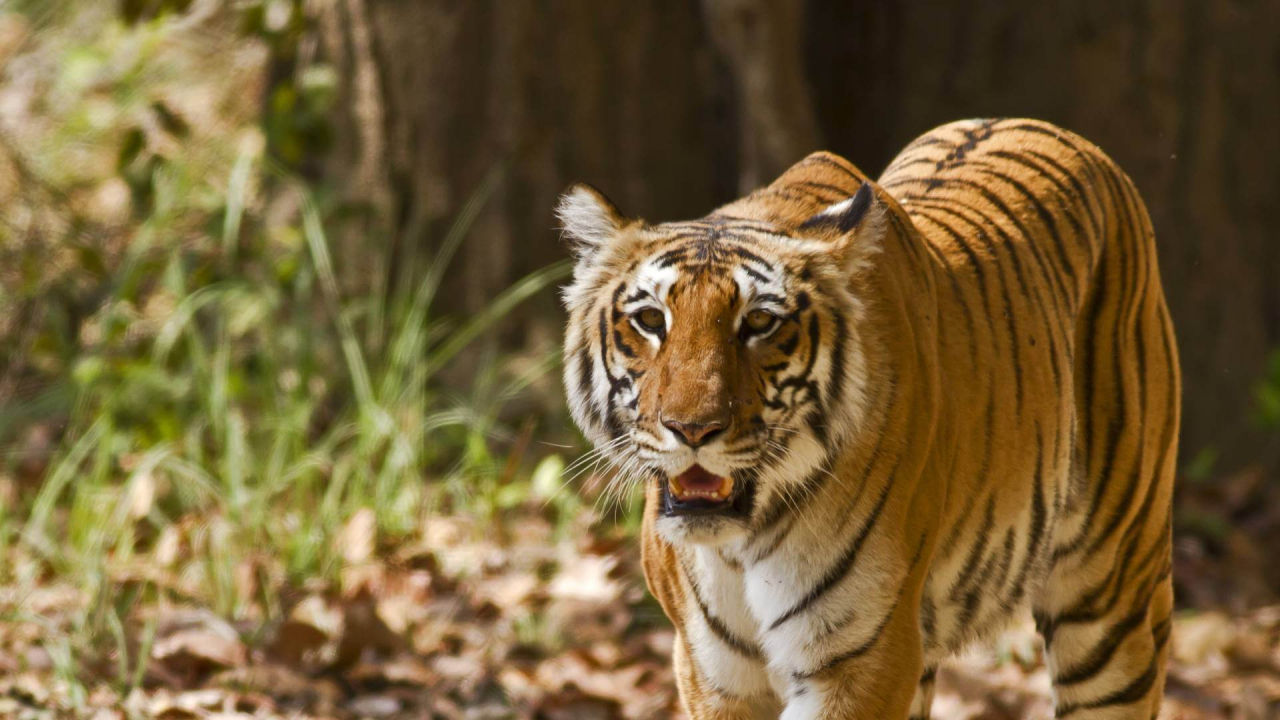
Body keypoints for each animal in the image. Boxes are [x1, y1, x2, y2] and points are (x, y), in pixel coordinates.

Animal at [557, 118, 1179, 719]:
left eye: (759, 322)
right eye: (649, 320)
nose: (692, 430)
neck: (739, 543)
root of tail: (1075, 140)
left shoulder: (863, 658)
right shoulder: (711, 669)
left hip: (1111, 598)